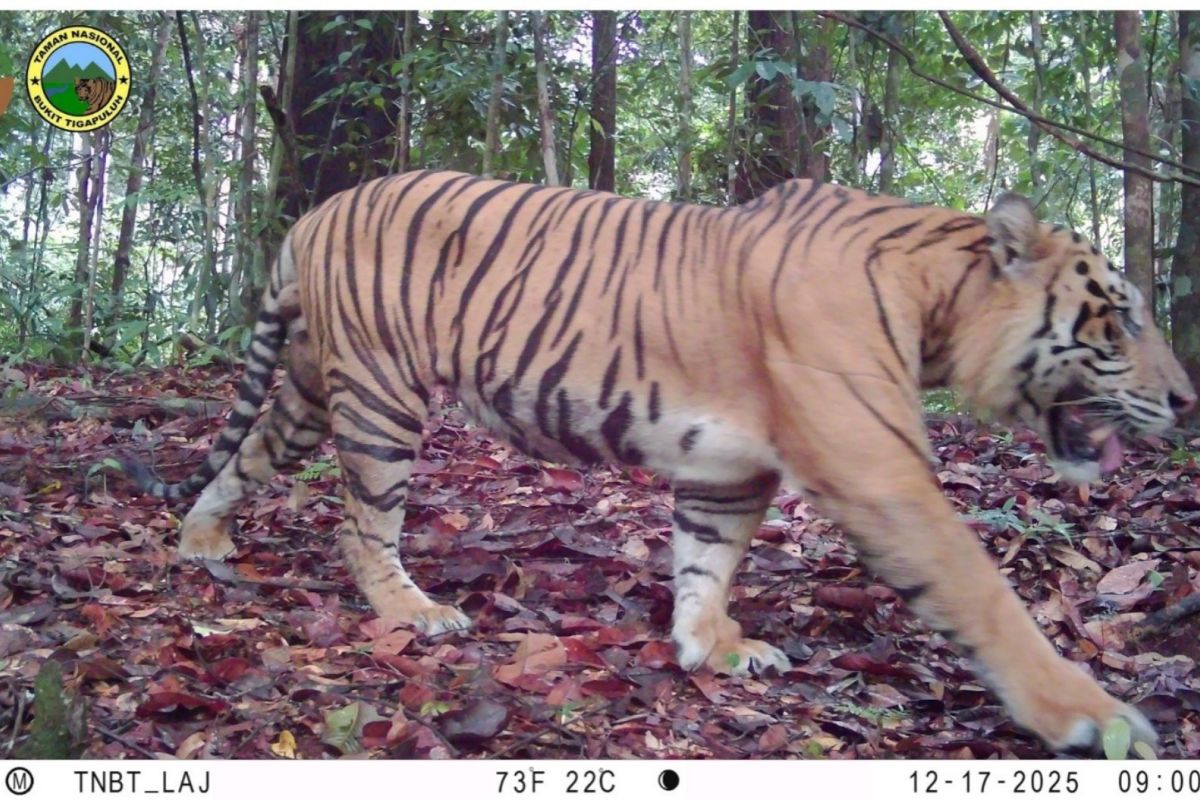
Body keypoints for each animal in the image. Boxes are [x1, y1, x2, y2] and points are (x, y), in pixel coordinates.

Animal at [129, 170, 1194, 753]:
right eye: (1123, 319)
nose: (1188, 401)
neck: (941, 301)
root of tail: (312, 215)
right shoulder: (880, 471)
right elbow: (985, 596)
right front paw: (1095, 720)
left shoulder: (728, 469)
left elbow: (705, 560)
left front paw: (709, 646)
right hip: (381, 397)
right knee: (364, 524)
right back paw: (414, 611)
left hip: (314, 388)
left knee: (248, 454)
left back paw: (203, 542)